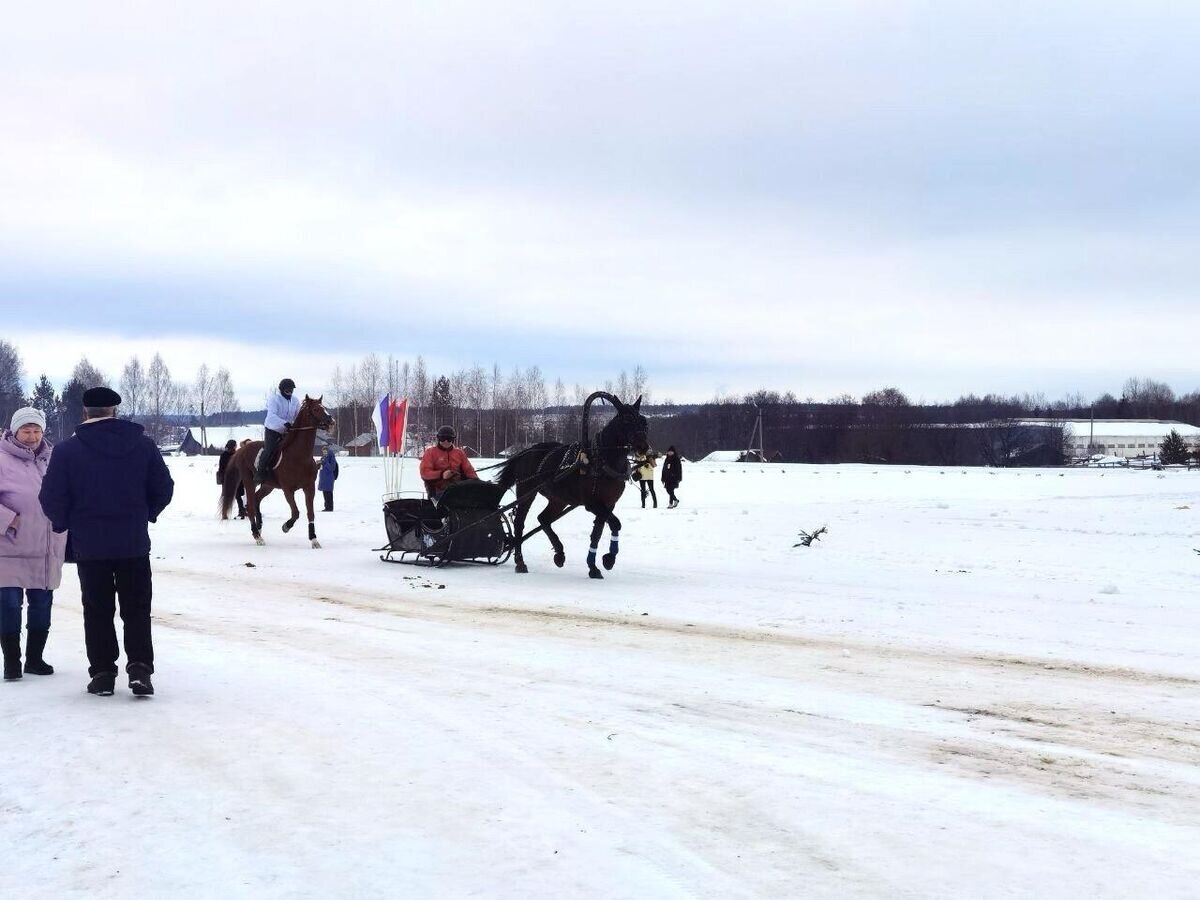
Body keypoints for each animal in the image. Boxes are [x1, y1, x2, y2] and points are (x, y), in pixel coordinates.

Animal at [218, 396, 333, 549]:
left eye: (324, 407)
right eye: (316, 409)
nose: (331, 421)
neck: (300, 457)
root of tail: (242, 449)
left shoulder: (309, 488)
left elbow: (310, 513)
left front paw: (314, 539)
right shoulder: (288, 490)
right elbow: (295, 512)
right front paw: (286, 526)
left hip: (268, 486)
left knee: (255, 500)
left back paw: (259, 528)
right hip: (249, 481)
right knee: (250, 506)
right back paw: (257, 536)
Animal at [494, 393, 652, 578]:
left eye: (643, 421)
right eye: (627, 421)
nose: (643, 447)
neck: (601, 459)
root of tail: (525, 452)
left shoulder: (608, 504)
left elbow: (598, 533)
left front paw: (594, 566)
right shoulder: (593, 504)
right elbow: (615, 524)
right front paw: (609, 559)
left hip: (558, 499)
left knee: (543, 518)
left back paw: (559, 554)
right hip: (526, 491)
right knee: (520, 523)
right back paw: (520, 561)